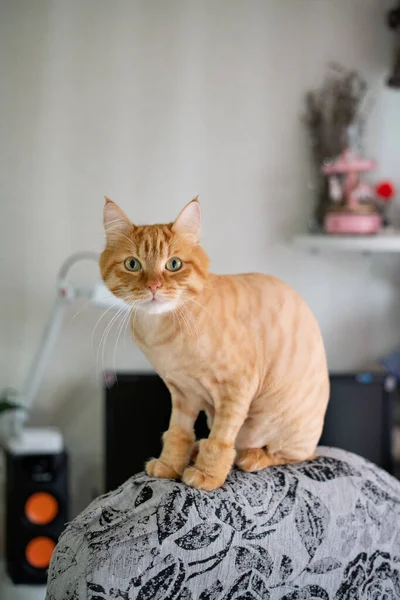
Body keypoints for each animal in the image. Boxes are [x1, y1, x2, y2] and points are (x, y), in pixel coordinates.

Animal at [99, 199, 328, 490]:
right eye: (132, 264)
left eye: (173, 264)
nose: (154, 286)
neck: (163, 336)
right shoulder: (182, 392)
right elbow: (178, 432)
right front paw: (171, 464)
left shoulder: (237, 388)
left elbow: (220, 439)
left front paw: (208, 475)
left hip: (285, 427)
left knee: (296, 454)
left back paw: (252, 456)